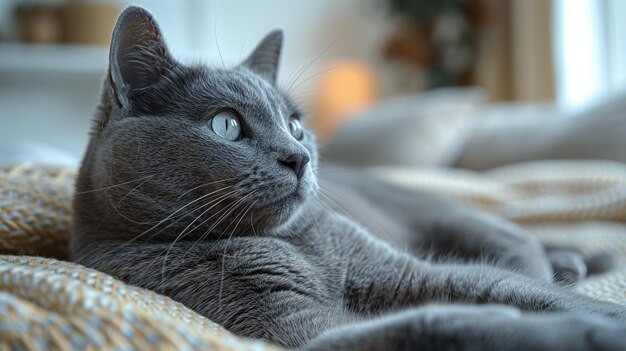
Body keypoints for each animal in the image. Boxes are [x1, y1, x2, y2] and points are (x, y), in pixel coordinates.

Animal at [70, 6, 624, 350]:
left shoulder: (406, 272)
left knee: (523, 250)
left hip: (459, 218)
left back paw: (572, 261)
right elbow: (436, 324)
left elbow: (514, 290)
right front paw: (574, 333)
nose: (298, 156)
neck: (299, 248)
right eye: (226, 125)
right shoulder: (292, 327)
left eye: (296, 125)